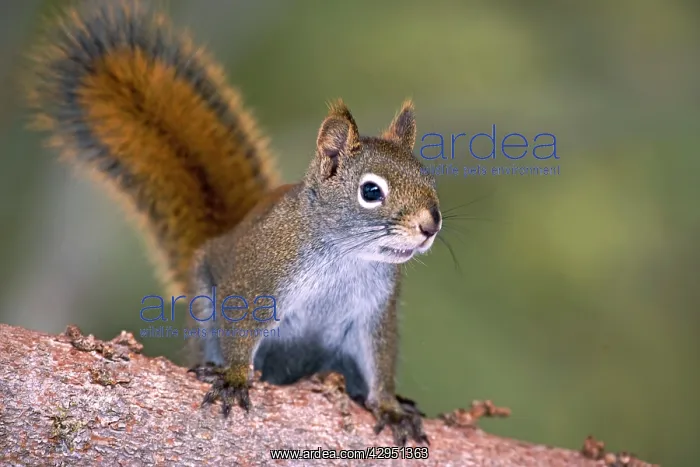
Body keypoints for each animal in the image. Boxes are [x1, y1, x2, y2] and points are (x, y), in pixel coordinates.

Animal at [27, 0, 441, 446]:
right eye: (370, 191)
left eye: (428, 177)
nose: (430, 224)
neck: (347, 256)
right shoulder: (257, 278)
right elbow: (241, 326)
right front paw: (237, 377)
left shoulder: (374, 312)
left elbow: (379, 357)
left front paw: (389, 406)